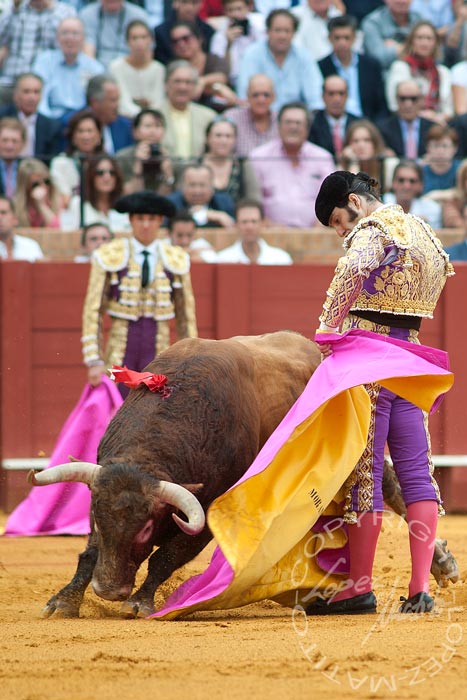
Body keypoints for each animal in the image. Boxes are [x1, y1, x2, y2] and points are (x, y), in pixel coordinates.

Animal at [30, 330, 460, 616]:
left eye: (147, 527)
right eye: (98, 518)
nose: (108, 590)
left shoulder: (206, 512)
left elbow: (166, 557)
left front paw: (138, 602)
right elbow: (89, 551)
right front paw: (64, 600)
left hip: (359, 454)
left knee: (389, 489)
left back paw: (433, 569)